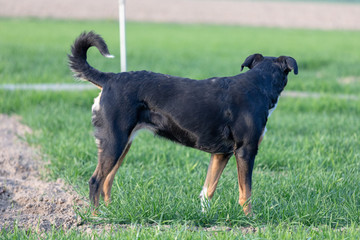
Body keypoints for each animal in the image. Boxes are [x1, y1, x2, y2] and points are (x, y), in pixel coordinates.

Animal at [68, 30, 298, 216]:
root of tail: (109, 79)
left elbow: (208, 190)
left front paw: (205, 217)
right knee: (96, 181)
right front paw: (250, 219)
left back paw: (112, 214)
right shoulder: (245, 150)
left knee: (107, 181)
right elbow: (246, 193)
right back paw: (98, 218)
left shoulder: (220, 154)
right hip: (114, 141)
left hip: (123, 144)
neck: (259, 85)